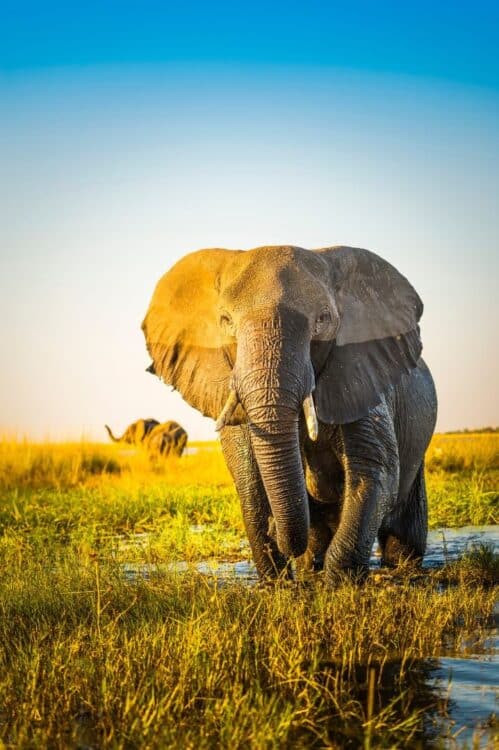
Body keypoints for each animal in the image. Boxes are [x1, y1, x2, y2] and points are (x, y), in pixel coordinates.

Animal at [142, 245, 437, 583]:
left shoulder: (359, 373)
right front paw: (278, 583)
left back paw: (400, 570)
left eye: (323, 319)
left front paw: (338, 585)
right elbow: (249, 480)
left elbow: (374, 471)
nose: (276, 529)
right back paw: (310, 568)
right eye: (225, 320)